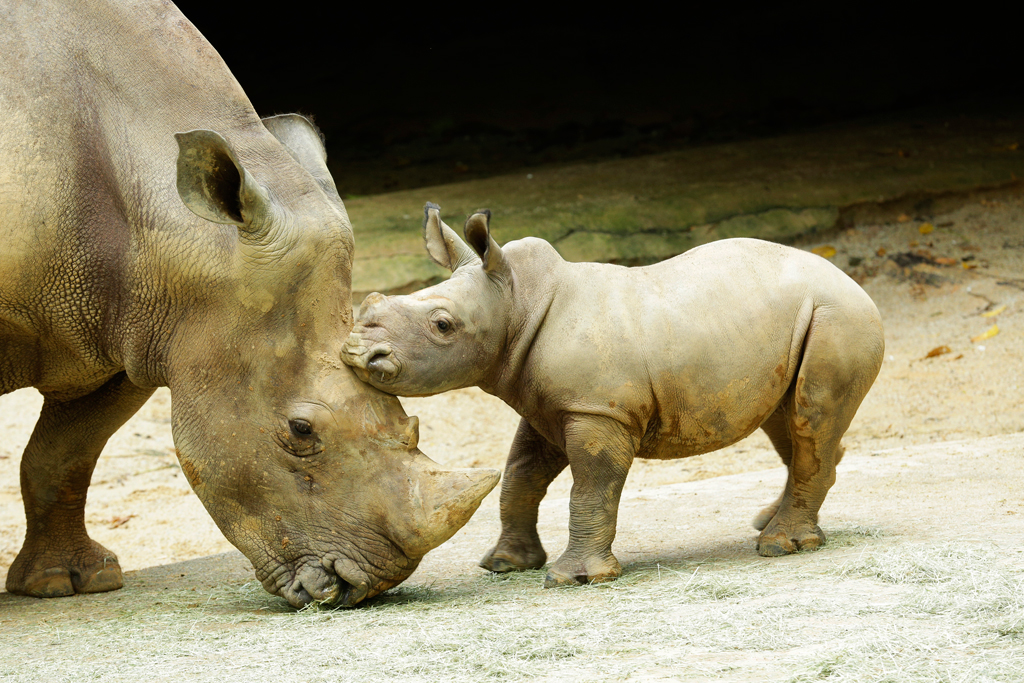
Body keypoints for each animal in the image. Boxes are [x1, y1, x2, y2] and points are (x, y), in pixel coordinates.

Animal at [342, 204, 880, 589]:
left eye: (442, 325)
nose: (358, 353)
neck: (515, 301)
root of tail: (855, 285)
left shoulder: (597, 410)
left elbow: (591, 486)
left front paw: (574, 578)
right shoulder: (550, 406)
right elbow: (521, 475)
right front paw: (504, 564)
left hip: (836, 318)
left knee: (810, 418)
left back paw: (779, 544)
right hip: (797, 325)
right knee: (787, 420)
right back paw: (771, 521)